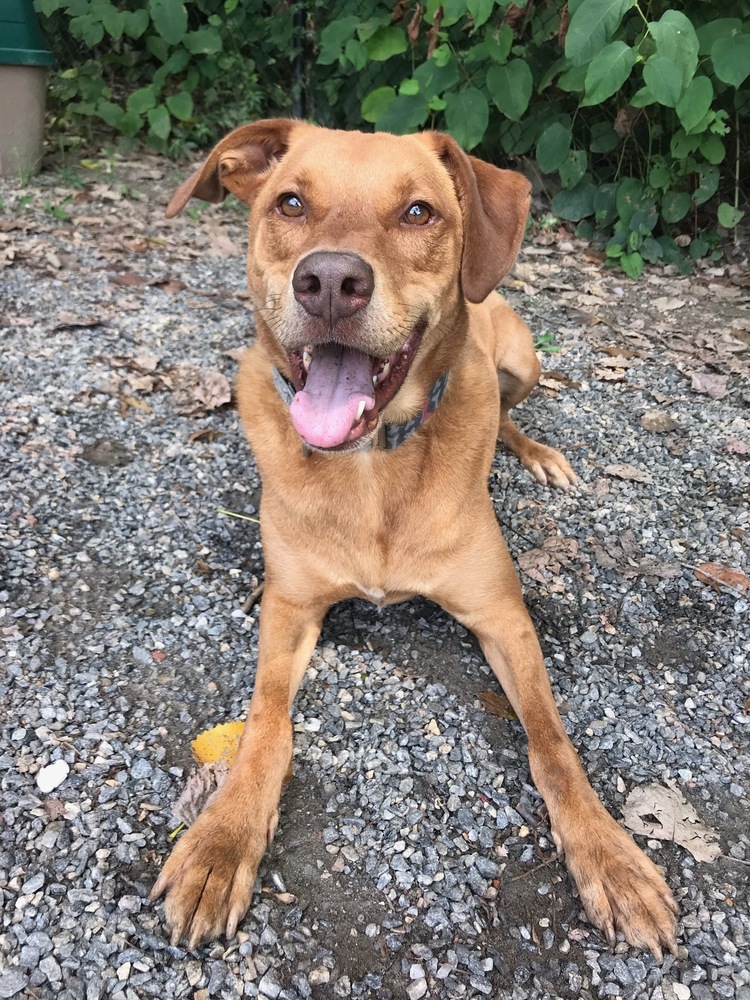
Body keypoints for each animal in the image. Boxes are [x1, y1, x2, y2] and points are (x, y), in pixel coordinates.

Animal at [153, 121, 680, 956]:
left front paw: (610, 856)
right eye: (290, 203)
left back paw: (538, 454)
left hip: (522, 360)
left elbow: (554, 747)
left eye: (418, 212)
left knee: (511, 412)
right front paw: (221, 839)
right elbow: (264, 723)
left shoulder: (503, 616)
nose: (330, 281)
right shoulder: (288, 606)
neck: (371, 463)